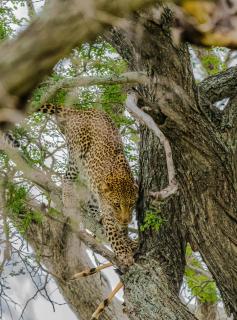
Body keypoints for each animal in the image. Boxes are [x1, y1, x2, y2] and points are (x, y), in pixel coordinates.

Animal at [39, 104, 138, 266]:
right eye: (117, 205)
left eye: (131, 205)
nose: (126, 220)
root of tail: (83, 111)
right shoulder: (109, 212)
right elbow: (114, 234)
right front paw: (124, 254)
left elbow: (122, 233)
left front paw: (129, 242)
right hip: (77, 153)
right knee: (67, 177)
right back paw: (68, 198)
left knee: (91, 199)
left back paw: (97, 215)